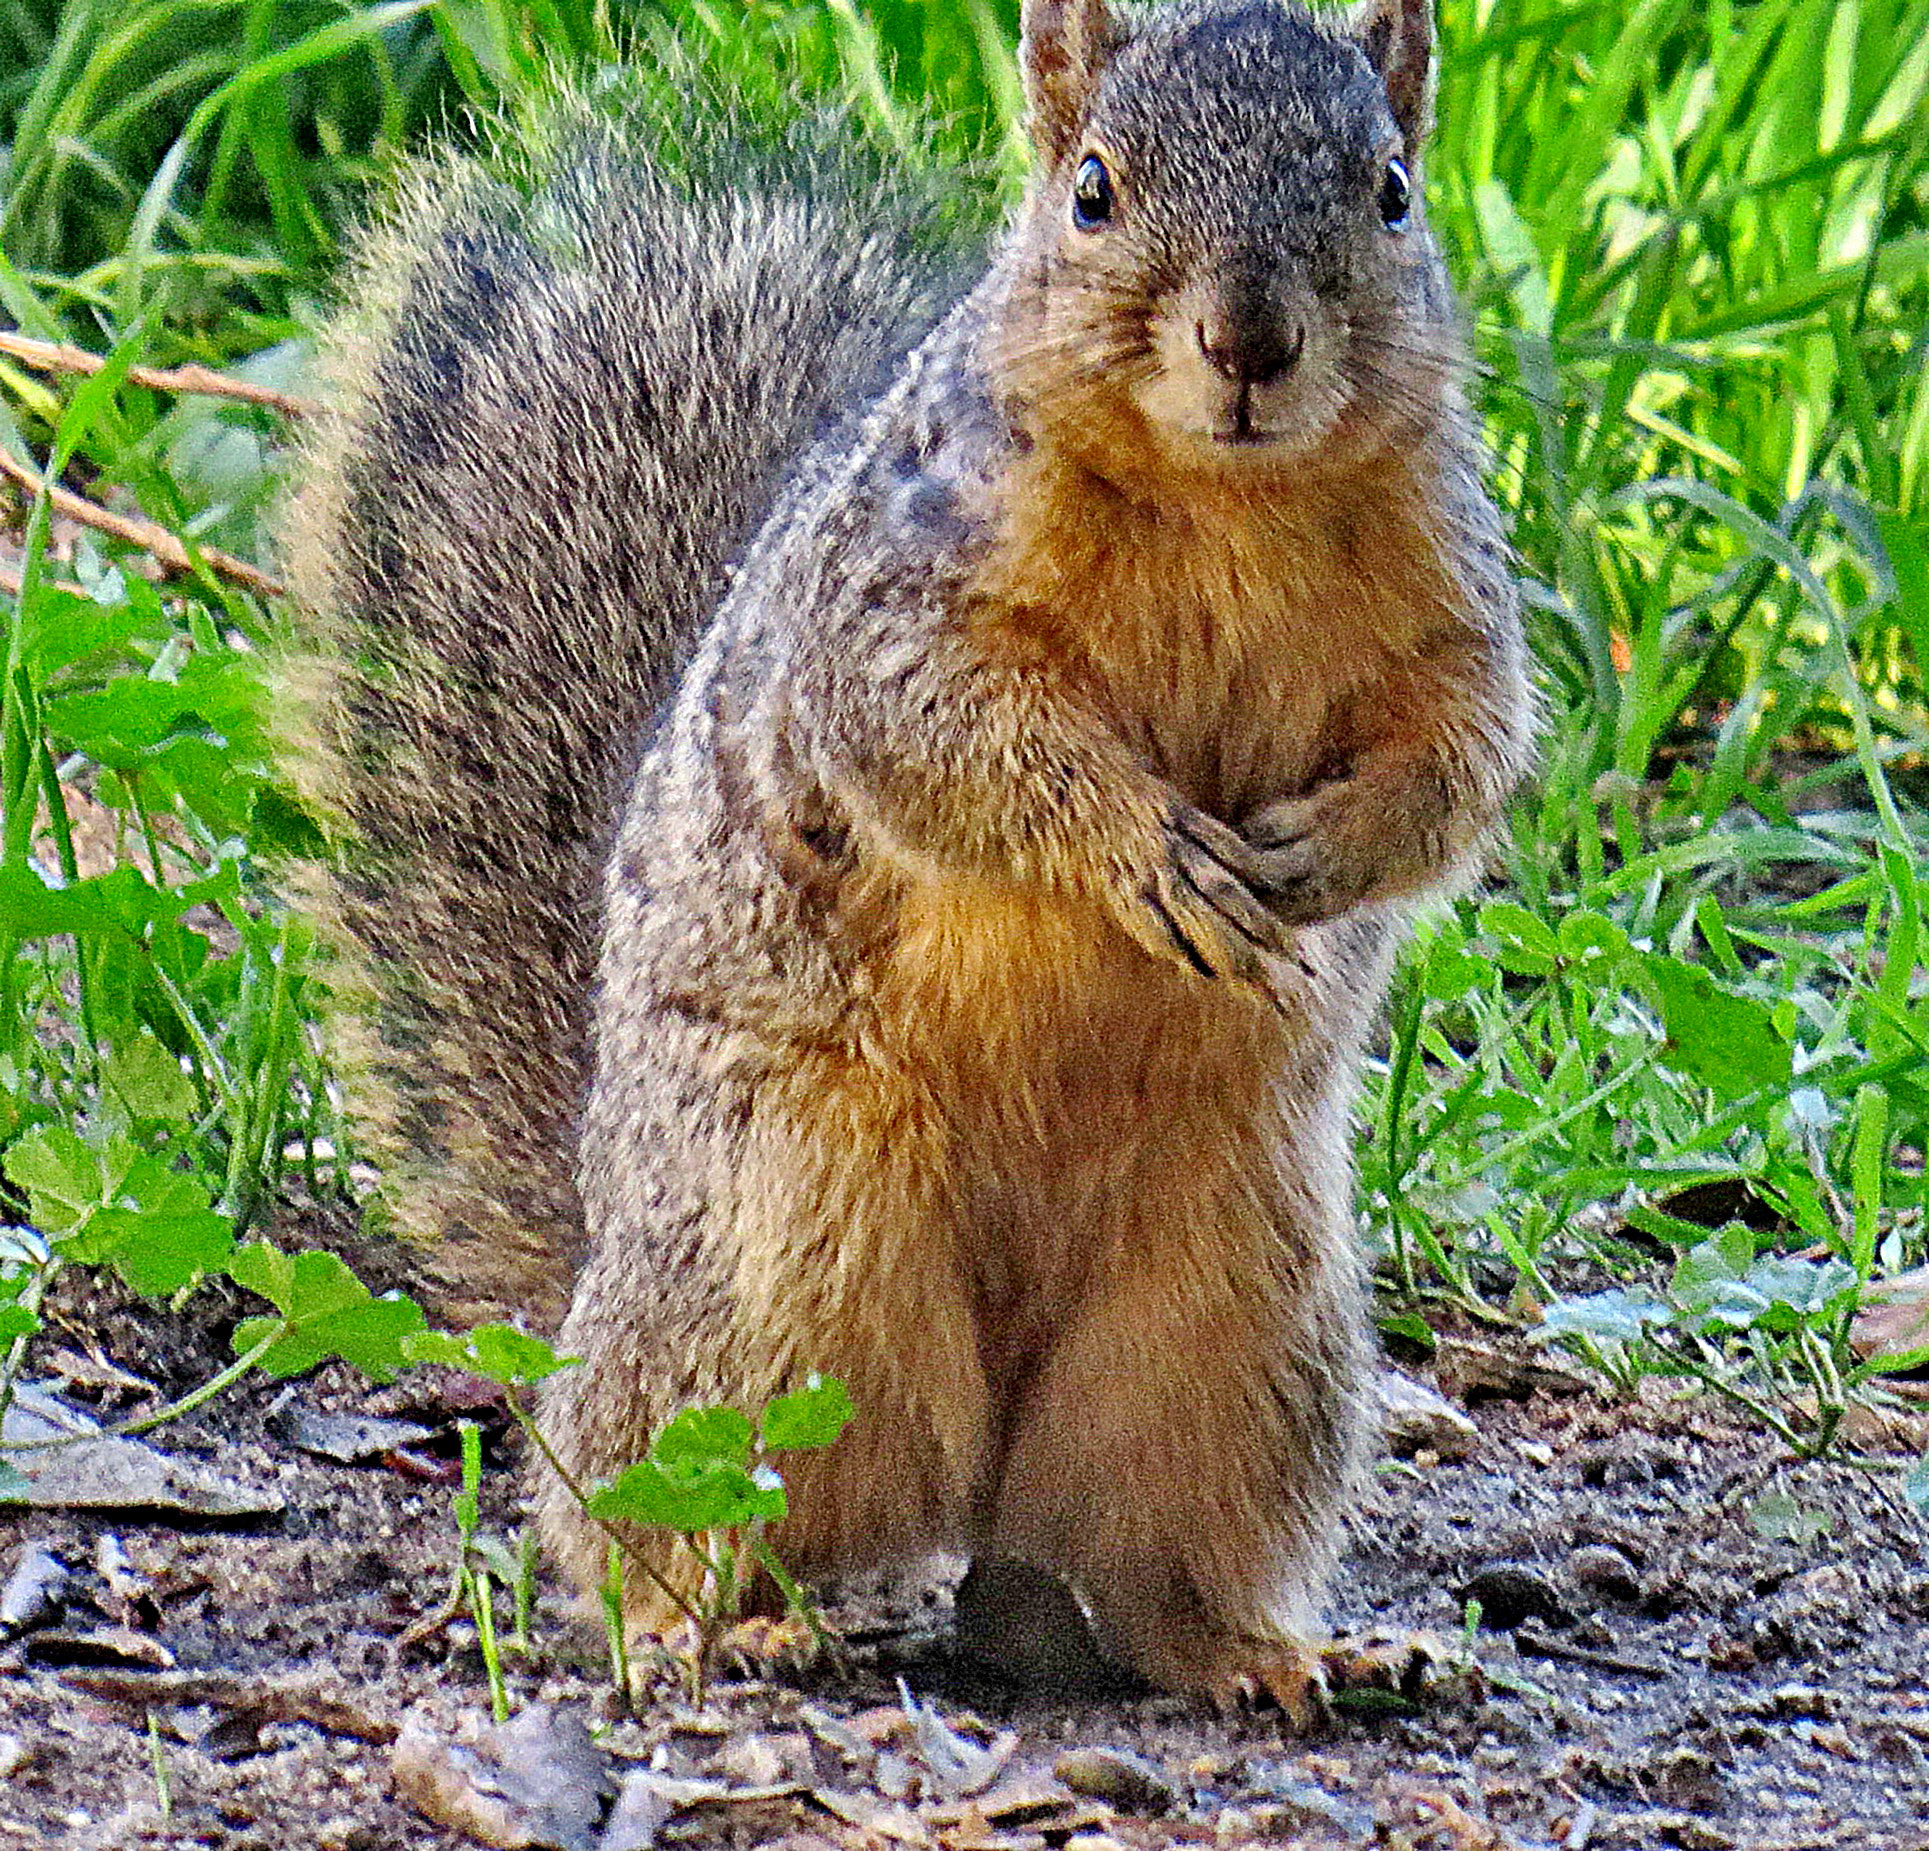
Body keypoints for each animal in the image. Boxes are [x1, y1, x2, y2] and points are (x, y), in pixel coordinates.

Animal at [275, 0, 1535, 1704]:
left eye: (1392, 193)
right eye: (1092, 190)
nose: (1249, 342)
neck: (1228, 497)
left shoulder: (1453, 599)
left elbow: (1462, 757)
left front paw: (1321, 855)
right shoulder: (892, 593)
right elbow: (944, 736)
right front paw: (1147, 849)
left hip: (1236, 1326)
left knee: (1134, 1553)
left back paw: (1261, 1650)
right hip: (775, 1270)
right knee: (637, 1513)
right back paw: (700, 1622)